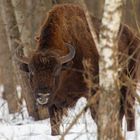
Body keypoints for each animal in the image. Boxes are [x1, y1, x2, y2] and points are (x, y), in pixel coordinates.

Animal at [15, 4, 139, 136]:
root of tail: (134, 35)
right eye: (31, 72)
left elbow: (96, 116)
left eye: (56, 71)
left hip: (129, 83)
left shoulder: (92, 91)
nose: (42, 95)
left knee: (128, 109)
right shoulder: (54, 102)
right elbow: (54, 123)